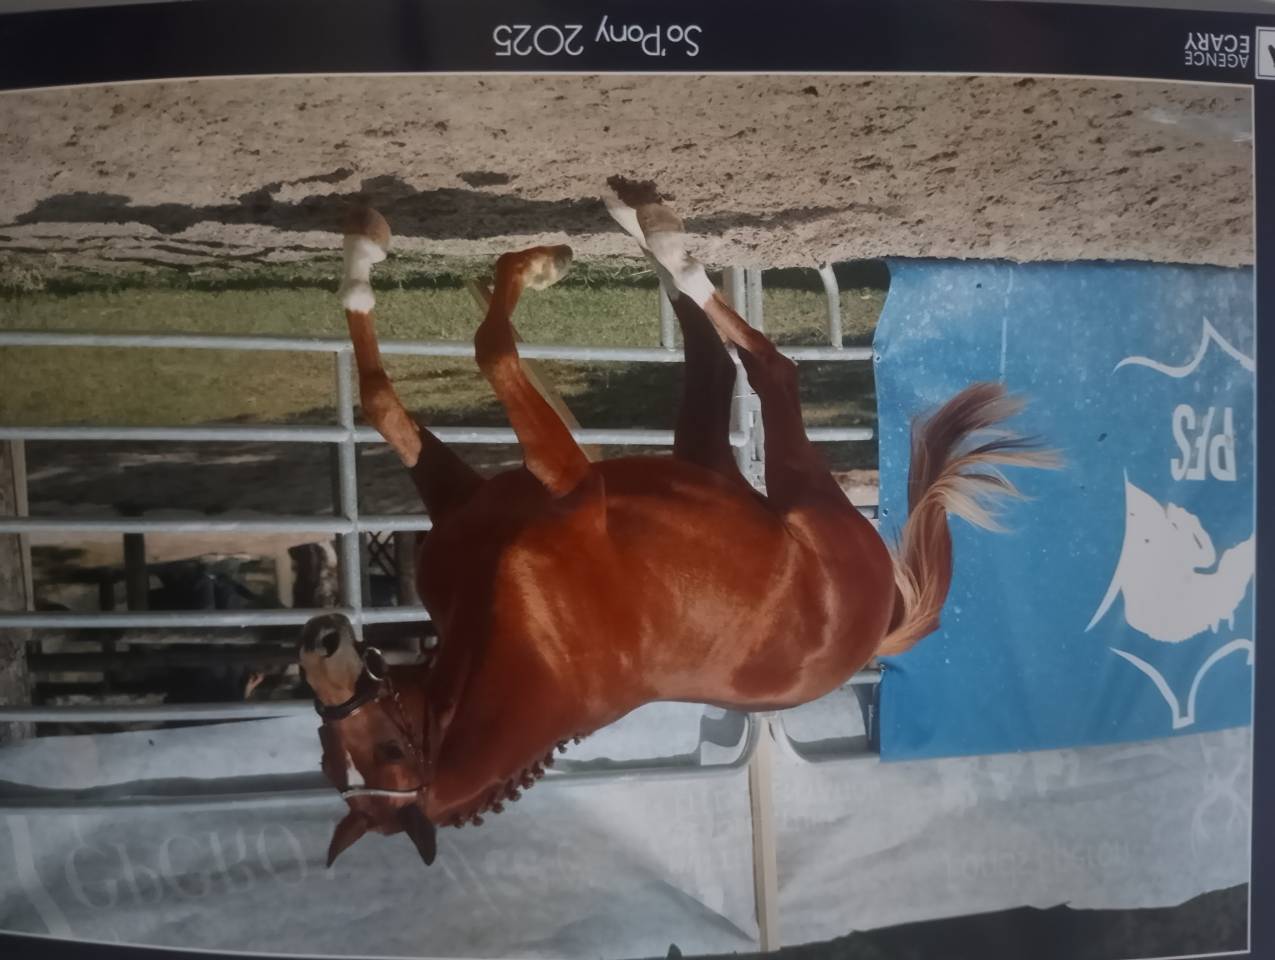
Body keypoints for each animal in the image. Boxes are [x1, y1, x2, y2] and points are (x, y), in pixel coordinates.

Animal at [298, 177, 1055, 868]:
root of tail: (884, 623)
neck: (520, 641)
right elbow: (460, 362)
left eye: (380, 748)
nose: (320, 638)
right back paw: (651, 227)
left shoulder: (508, 490)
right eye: (337, 748)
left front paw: (384, 257)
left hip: (728, 463)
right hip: (773, 479)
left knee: (738, 355)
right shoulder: (553, 486)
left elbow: (409, 385)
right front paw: (515, 266)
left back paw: (635, 221)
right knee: (761, 364)